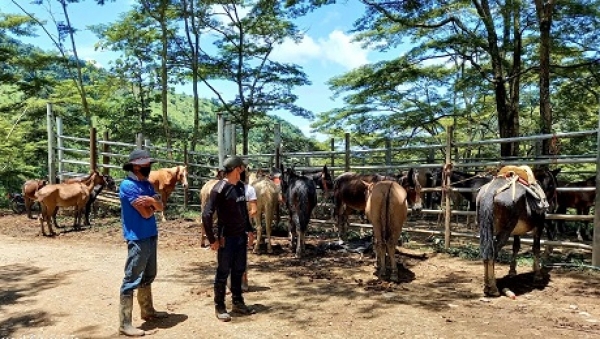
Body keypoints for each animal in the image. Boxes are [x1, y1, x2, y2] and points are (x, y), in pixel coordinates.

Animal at [476, 167, 560, 298]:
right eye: (553, 184)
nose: (555, 205)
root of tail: (491, 192)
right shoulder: (539, 225)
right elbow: (536, 248)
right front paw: (537, 275)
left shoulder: (516, 231)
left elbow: (516, 247)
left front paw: (512, 271)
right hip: (505, 231)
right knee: (492, 253)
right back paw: (493, 288)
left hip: (486, 230)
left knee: (486, 252)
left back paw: (487, 285)